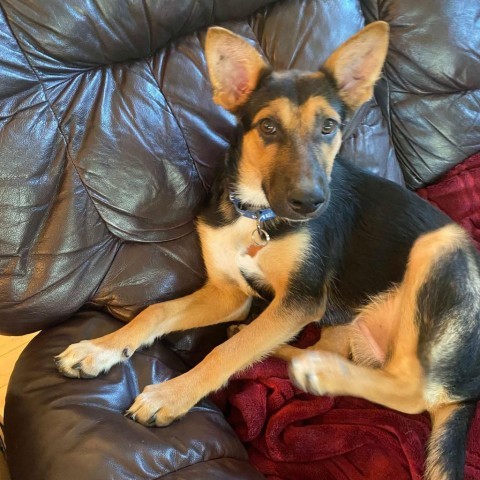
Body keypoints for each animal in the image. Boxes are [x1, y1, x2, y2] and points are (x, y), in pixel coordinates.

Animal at [56, 22, 480, 480]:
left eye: (329, 127)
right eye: (269, 127)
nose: (310, 203)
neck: (257, 214)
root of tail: (468, 392)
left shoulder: (300, 299)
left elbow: (224, 353)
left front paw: (169, 396)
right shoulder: (231, 293)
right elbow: (157, 311)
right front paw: (99, 349)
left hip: (437, 250)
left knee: (411, 390)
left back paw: (318, 371)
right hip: (345, 318)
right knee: (324, 349)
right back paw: (295, 359)